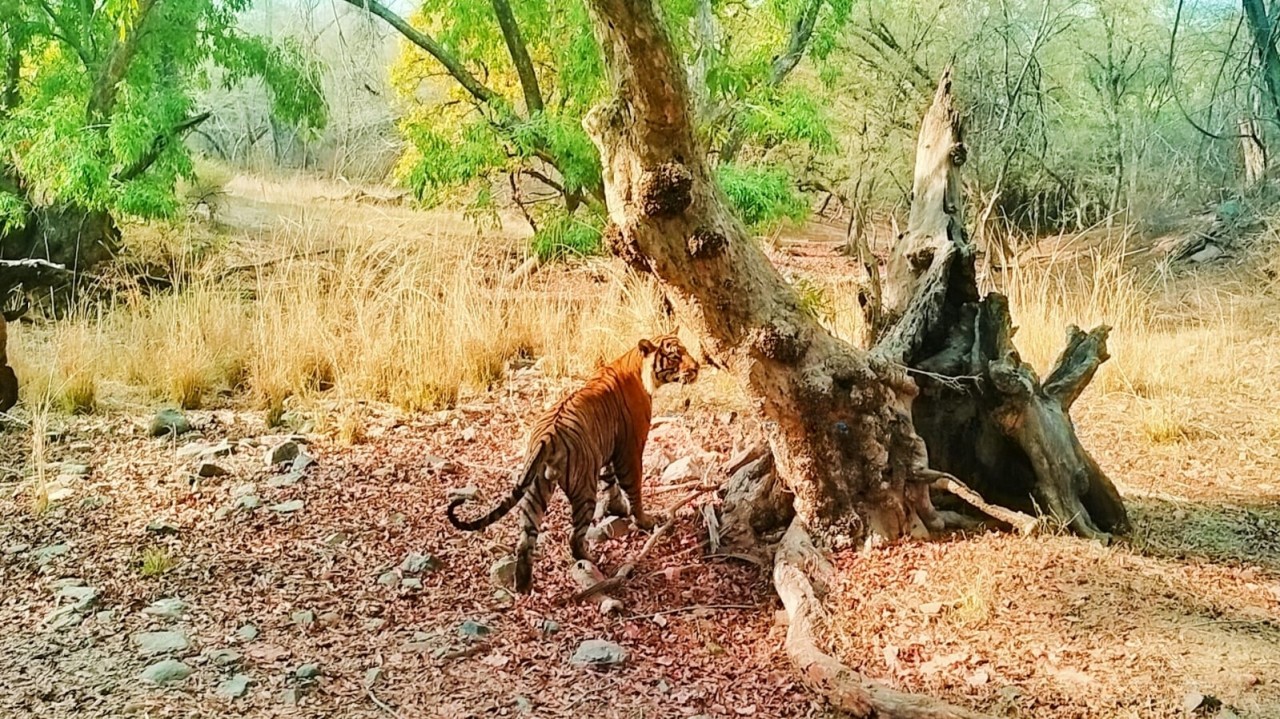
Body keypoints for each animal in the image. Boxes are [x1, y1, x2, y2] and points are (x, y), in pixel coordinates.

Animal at [446, 333, 700, 593]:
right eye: (675, 356)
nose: (697, 367)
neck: (637, 366)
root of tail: (548, 436)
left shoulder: (608, 449)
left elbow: (610, 481)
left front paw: (616, 508)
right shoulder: (630, 450)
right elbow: (633, 490)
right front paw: (644, 521)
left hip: (535, 491)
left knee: (525, 540)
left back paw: (523, 586)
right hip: (584, 489)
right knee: (575, 537)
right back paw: (591, 561)